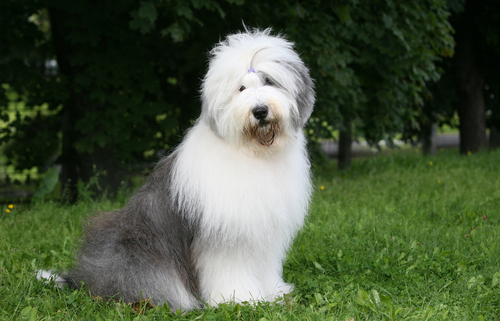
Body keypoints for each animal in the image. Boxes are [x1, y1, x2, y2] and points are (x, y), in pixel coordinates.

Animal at [44, 28, 316, 310]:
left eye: (269, 81)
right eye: (240, 88)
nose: (260, 111)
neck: (251, 151)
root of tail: (85, 280)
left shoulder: (265, 234)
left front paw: (274, 293)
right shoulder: (226, 236)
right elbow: (232, 269)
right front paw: (239, 299)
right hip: (139, 254)